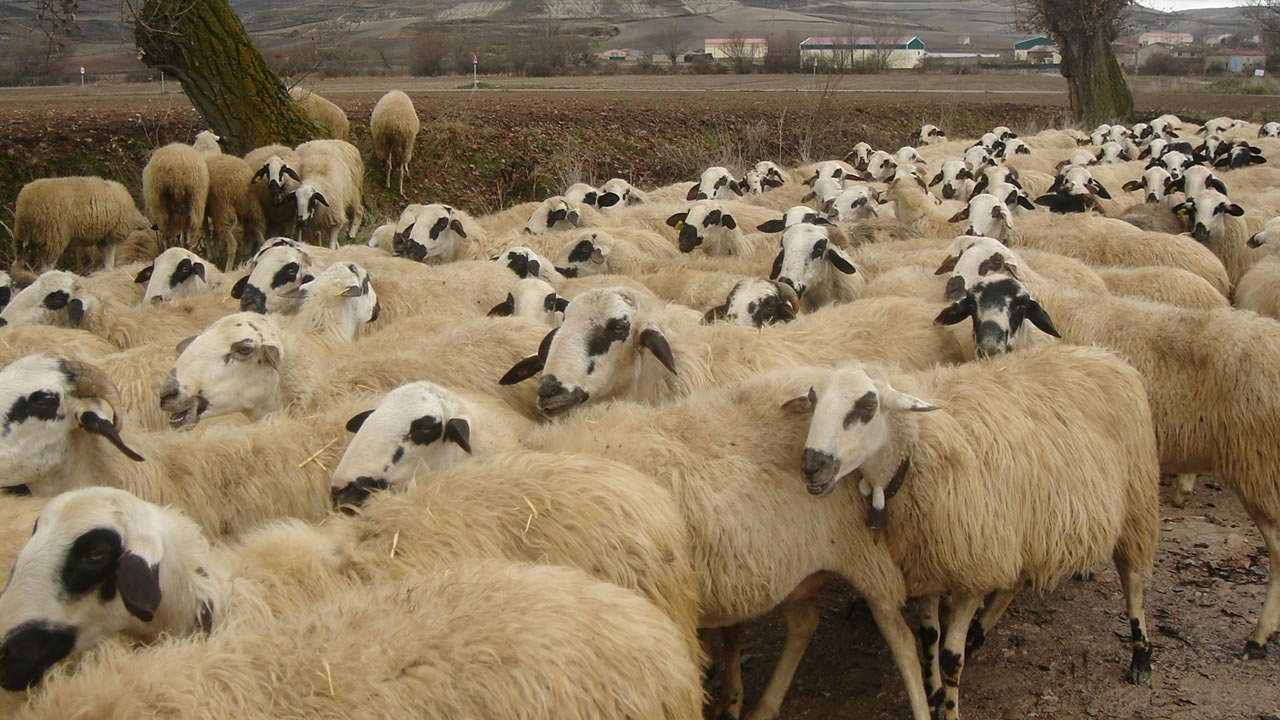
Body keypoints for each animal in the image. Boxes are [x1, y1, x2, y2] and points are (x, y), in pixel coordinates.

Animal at [12, 175, 152, 272]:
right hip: (53, 238)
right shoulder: (111, 236)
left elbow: (108, 264)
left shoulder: (103, 239)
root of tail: (26, 207)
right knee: (45, 269)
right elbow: (109, 263)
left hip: (22, 241)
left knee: (19, 267)